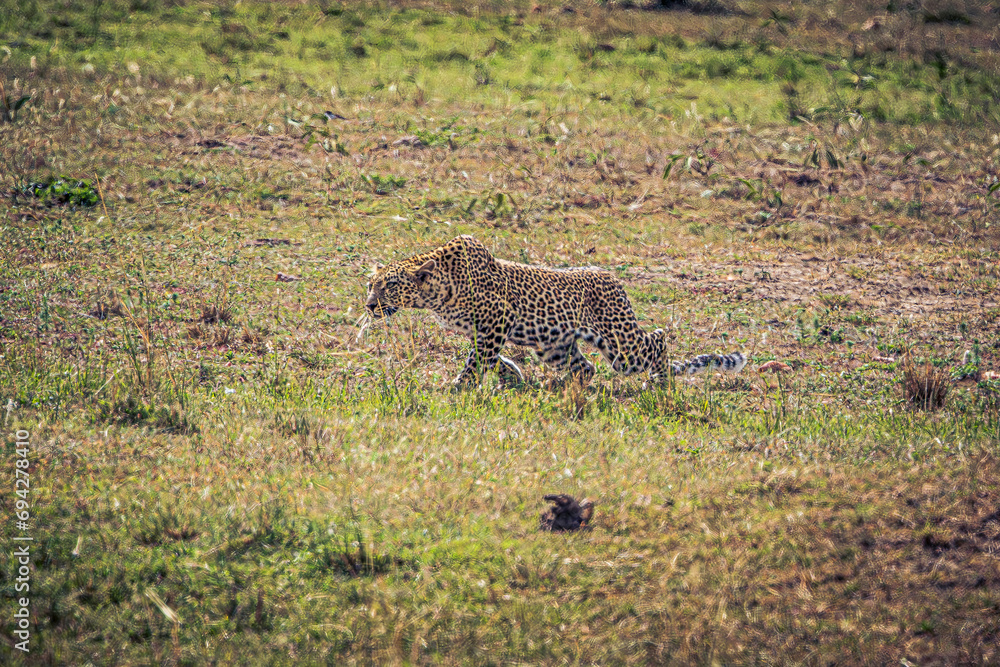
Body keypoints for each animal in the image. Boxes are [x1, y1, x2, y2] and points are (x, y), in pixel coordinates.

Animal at [362, 235, 747, 386]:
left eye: (390, 285)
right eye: (371, 284)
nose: (369, 305)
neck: (437, 291)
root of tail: (613, 279)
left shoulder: (498, 317)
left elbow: (479, 358)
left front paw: (461, 386)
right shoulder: (484, 328)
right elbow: (488, 354)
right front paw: (511, 375)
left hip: (623, 347)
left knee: (658, 338)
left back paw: (662, 381)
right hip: (554, 346)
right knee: (585, 367)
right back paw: (565, 389)